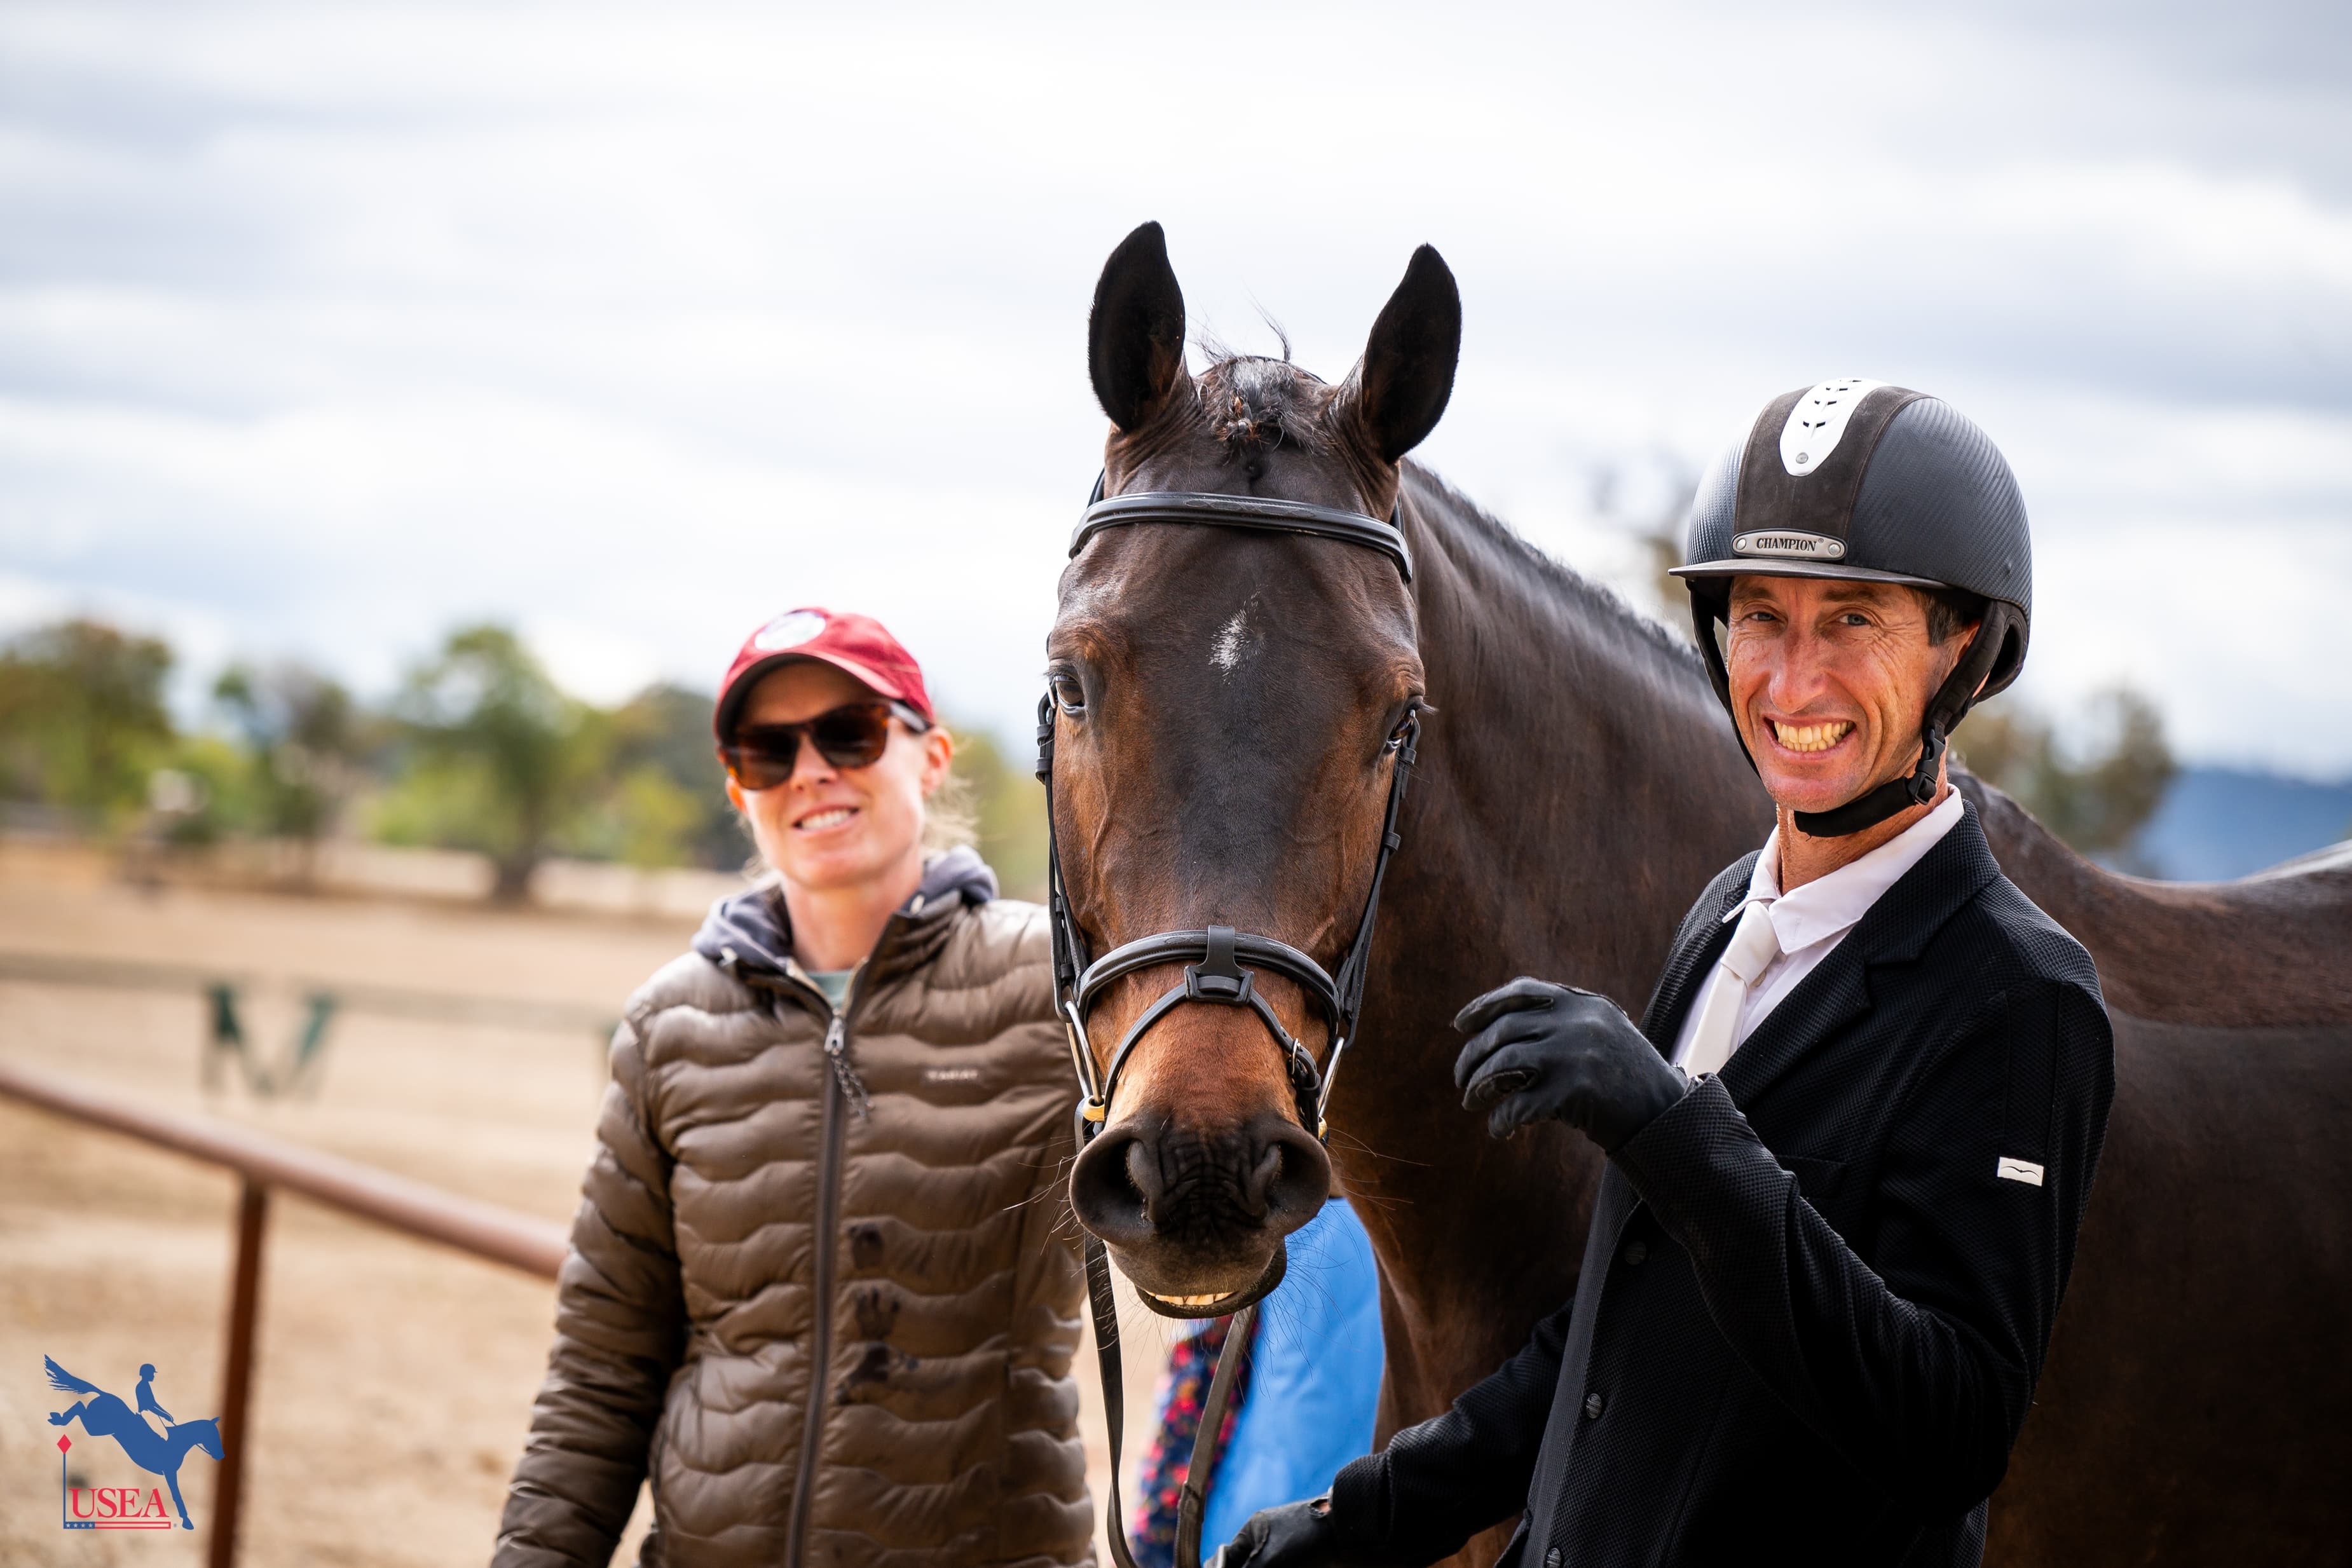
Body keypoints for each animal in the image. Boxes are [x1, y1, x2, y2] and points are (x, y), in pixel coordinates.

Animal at [47, 1358, 222, 1531]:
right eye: (213, 1436)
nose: (221, 1455)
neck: (177, 1443)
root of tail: (104, 1394)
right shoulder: (169, 1472)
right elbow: (176, 1495)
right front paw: (187, 1521)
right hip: (97, 1428)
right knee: (79, 1406)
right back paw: (58, 1419)